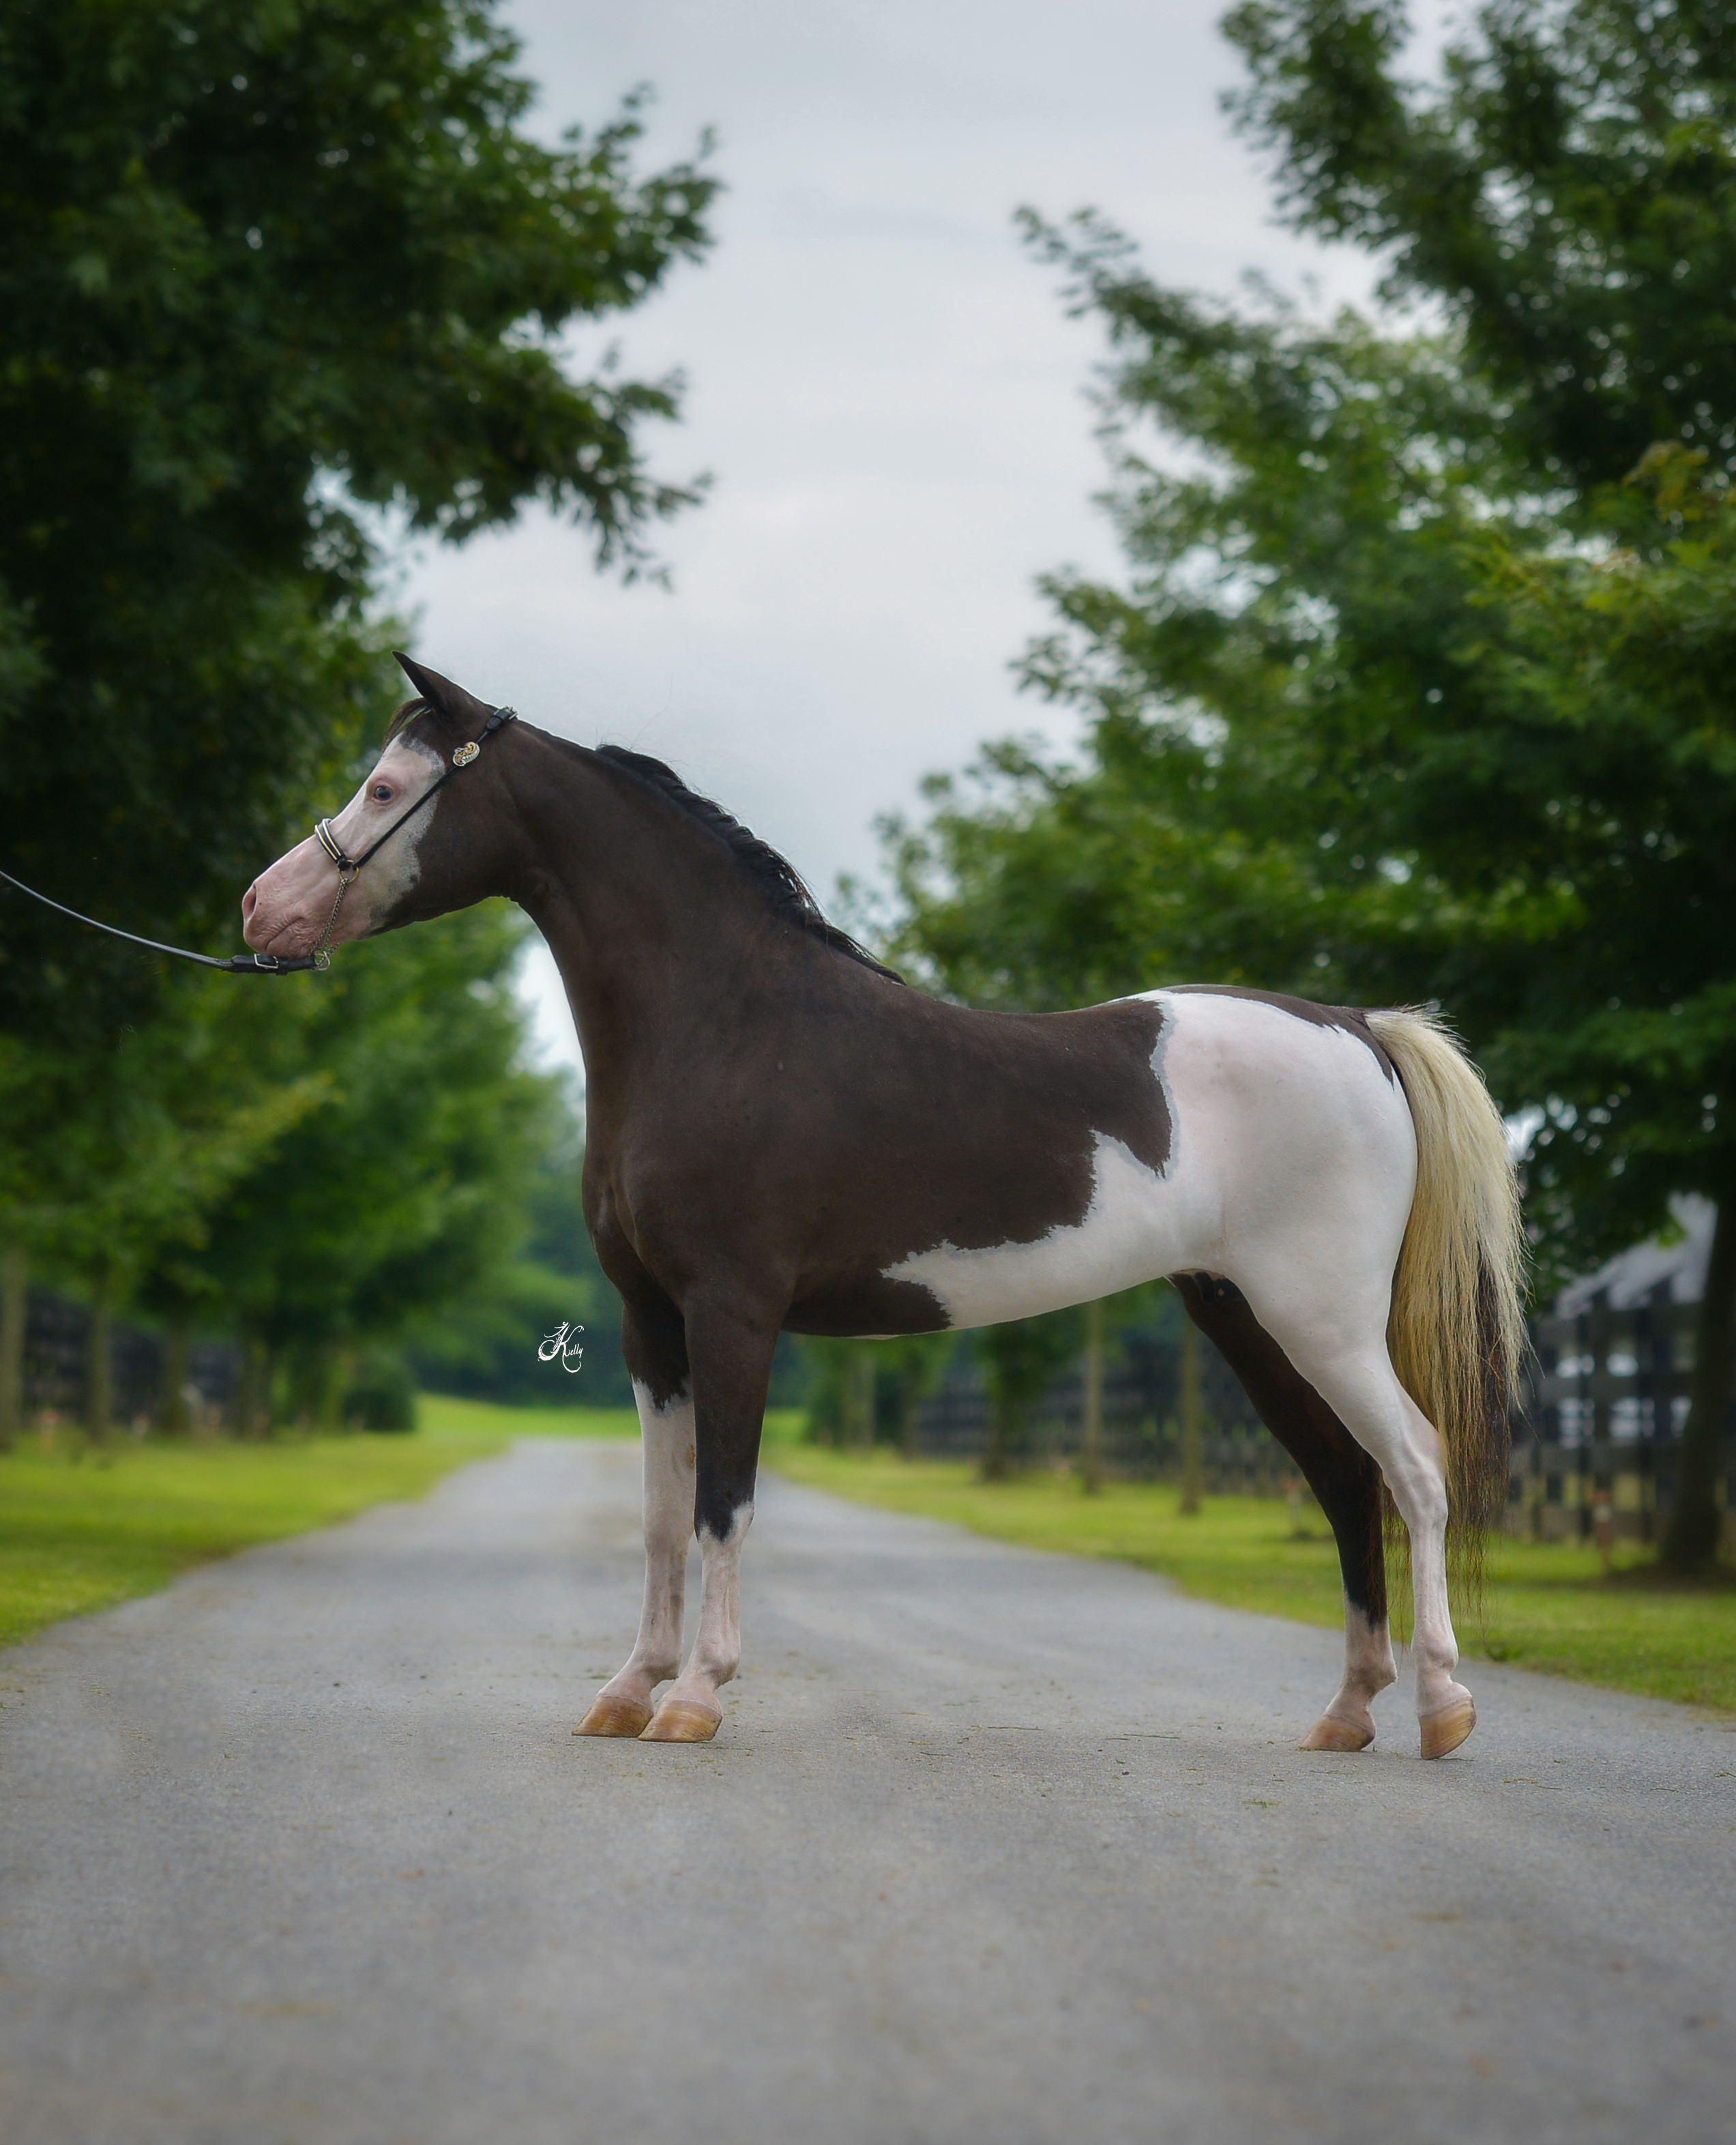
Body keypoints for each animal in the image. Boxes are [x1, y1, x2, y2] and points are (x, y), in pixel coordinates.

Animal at [240, 656, 1519, 1759]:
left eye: (388, 788)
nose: (261, 909)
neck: (726, 1020)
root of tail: (1356, 1026)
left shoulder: (734, 1314)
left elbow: (723, 1504)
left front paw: (696, 1697)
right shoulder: (651, 1326)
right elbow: (659, 1512)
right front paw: (627, 1689)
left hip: (1322, 1319)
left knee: (1414, 1467)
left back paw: (1443, 1707)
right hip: (1246, 1320)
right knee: (1346, 1481)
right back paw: (1346, 1712)